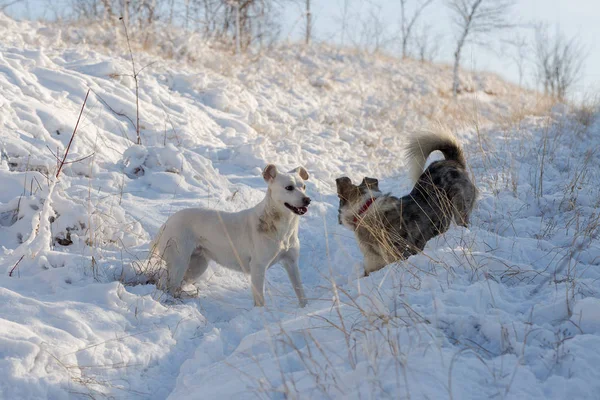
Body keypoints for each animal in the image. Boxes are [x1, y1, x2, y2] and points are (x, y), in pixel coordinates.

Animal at [150, 163, 312, 306]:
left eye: (304, 187)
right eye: (289, 188)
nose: (308, 200)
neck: (283, 226)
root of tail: (166, 223)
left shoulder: (291, 262)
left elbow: (301, 292)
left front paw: (305, 309)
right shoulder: (258, 267)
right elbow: (260, 300)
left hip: (197, 266)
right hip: (179, 262)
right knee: (167, 285)